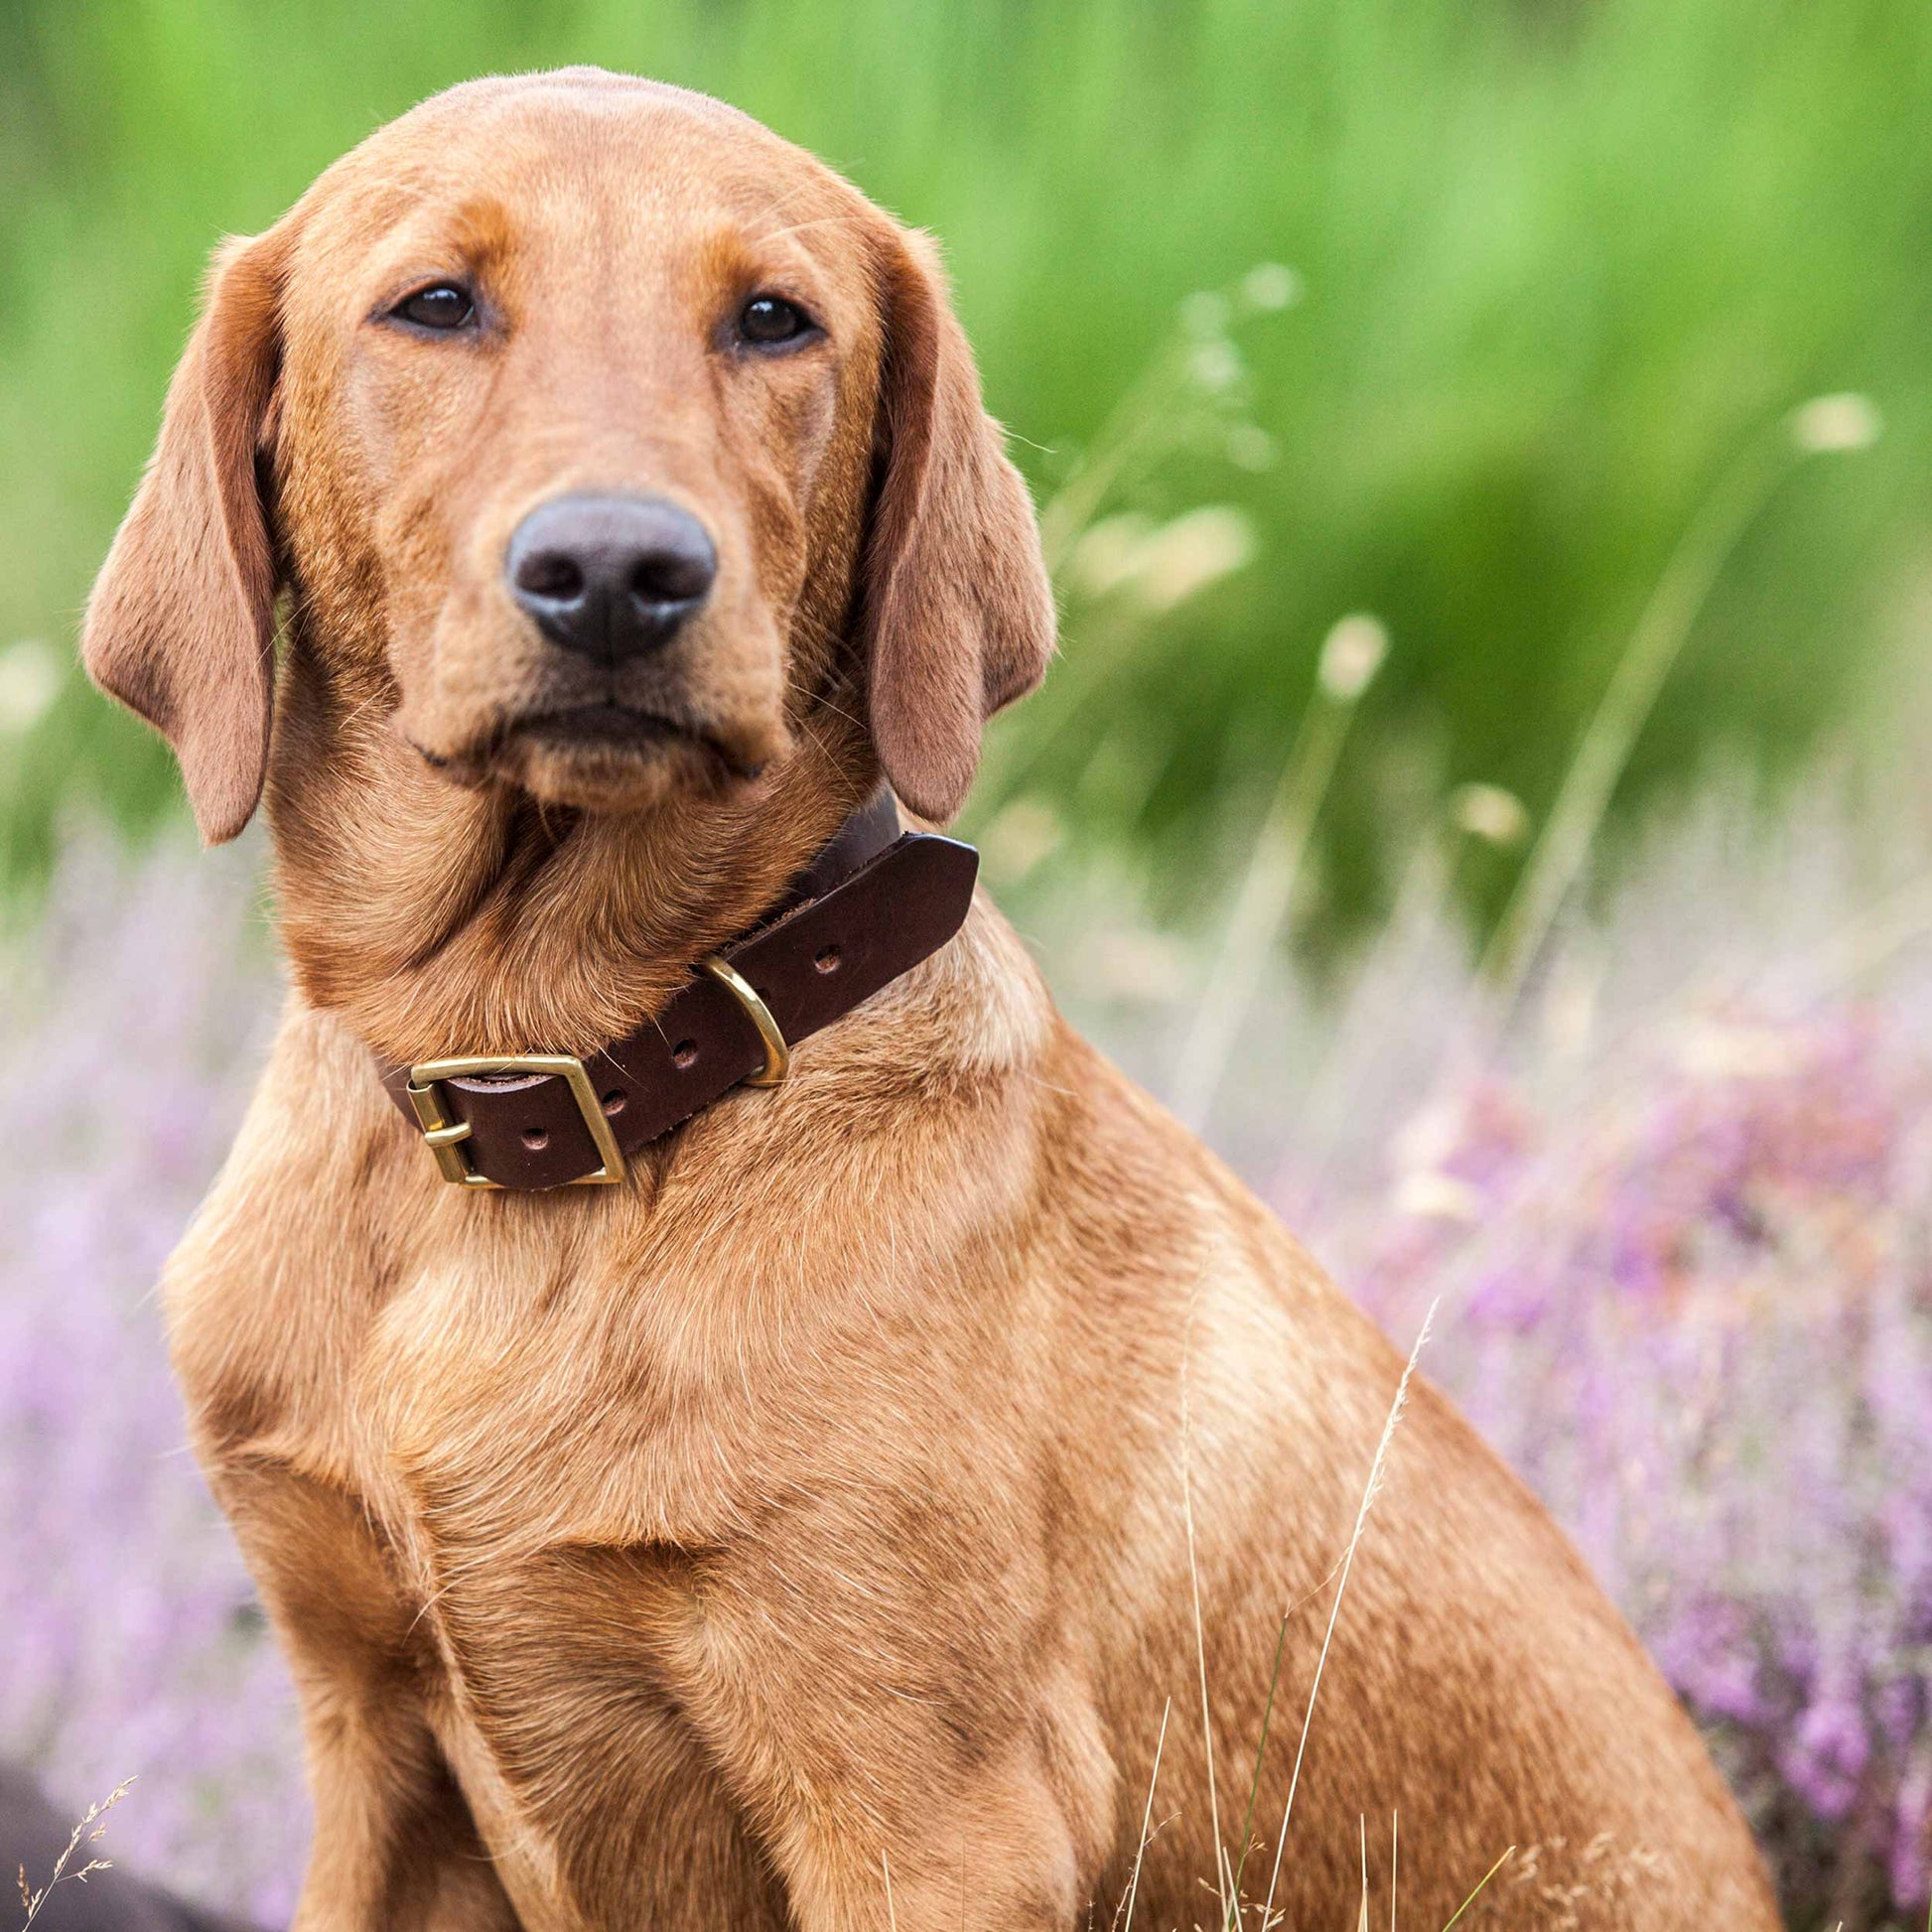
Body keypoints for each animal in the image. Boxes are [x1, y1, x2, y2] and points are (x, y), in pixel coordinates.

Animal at [82, 68, 1769, 1932]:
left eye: (772, 319)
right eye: (435, 303)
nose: (616, 572)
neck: (556, 1080)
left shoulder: (928, 1807)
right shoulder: (375, 1742)